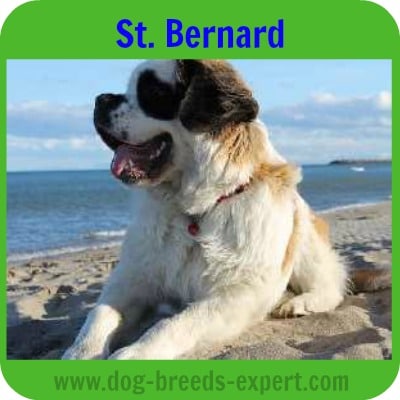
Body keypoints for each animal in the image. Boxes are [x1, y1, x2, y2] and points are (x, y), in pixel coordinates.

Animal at [62, 61, 390, 360]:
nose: (100, 99)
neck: (195, 208)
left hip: (303, 236)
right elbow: (99, 315)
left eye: (152, 91)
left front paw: (133, 354)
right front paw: (80, 353)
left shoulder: (238, 292)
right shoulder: (134, 275)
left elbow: (175, 323)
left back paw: (299, 303)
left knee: (332, 286)